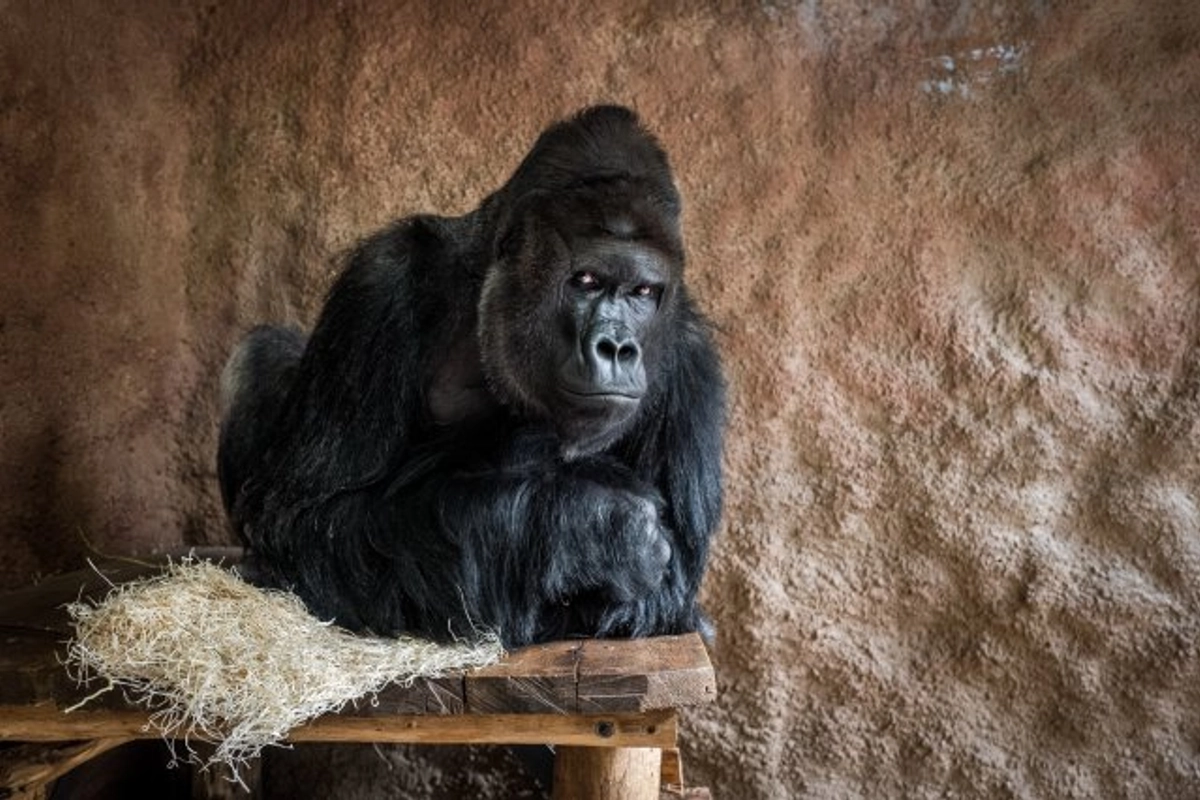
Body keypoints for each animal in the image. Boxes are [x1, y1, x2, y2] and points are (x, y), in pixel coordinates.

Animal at [216, 104, 720, 652]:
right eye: (586, 281)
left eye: (643, 292)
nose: (618, 347)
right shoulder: (383, 278)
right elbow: (307, 516)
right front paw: (595, 529)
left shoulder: (693, 356)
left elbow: (667, 595)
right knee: (261, 355)